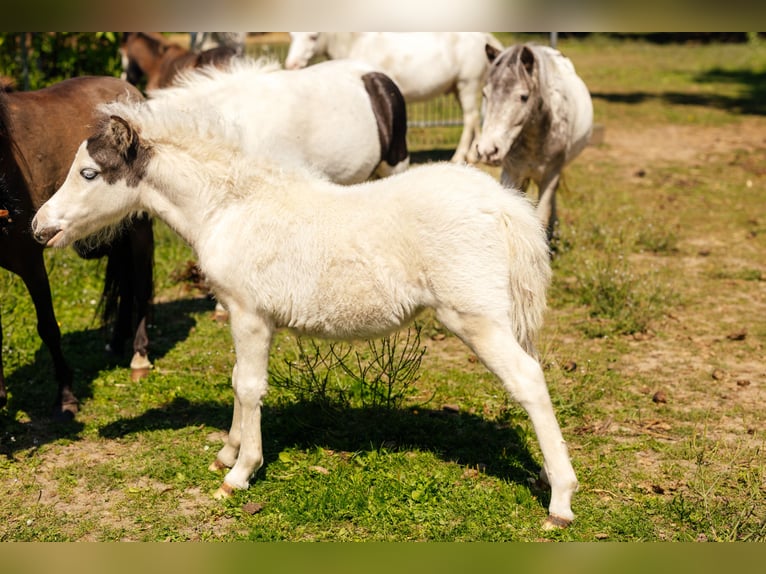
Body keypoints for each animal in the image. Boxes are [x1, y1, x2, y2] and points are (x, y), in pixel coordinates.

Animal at [0, 76, 154, 420]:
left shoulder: (30, 261)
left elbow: (48, 326)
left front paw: (66, 396)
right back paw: (116, 341)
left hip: (138, 225)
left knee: (140, 283)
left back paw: (139, 354)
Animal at [31, 99, 578, 529]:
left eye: (88, 172)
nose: (40, 228)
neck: (230, 208)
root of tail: (503, 204)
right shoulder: (242, 316)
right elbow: (238, 381)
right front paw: (226, 453)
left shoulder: (250, 314)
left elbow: (250, 388)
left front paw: (240, 474)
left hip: (475, 319)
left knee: (529, 381)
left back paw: (561, 501)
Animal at [284, 32, 504, 164]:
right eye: (292, 36)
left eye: (313, 37)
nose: (291, 65)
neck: (357, 43)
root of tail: (484, 37)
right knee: (476, 118)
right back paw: (472, 155)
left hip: (467, 85)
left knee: (470, 118)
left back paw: (459, 157)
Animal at [476, 43, 593, 244]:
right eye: (485, 94)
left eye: (524, 97)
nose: (487, 151)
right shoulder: (511, 173)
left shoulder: (550, 175)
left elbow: (541, 216)